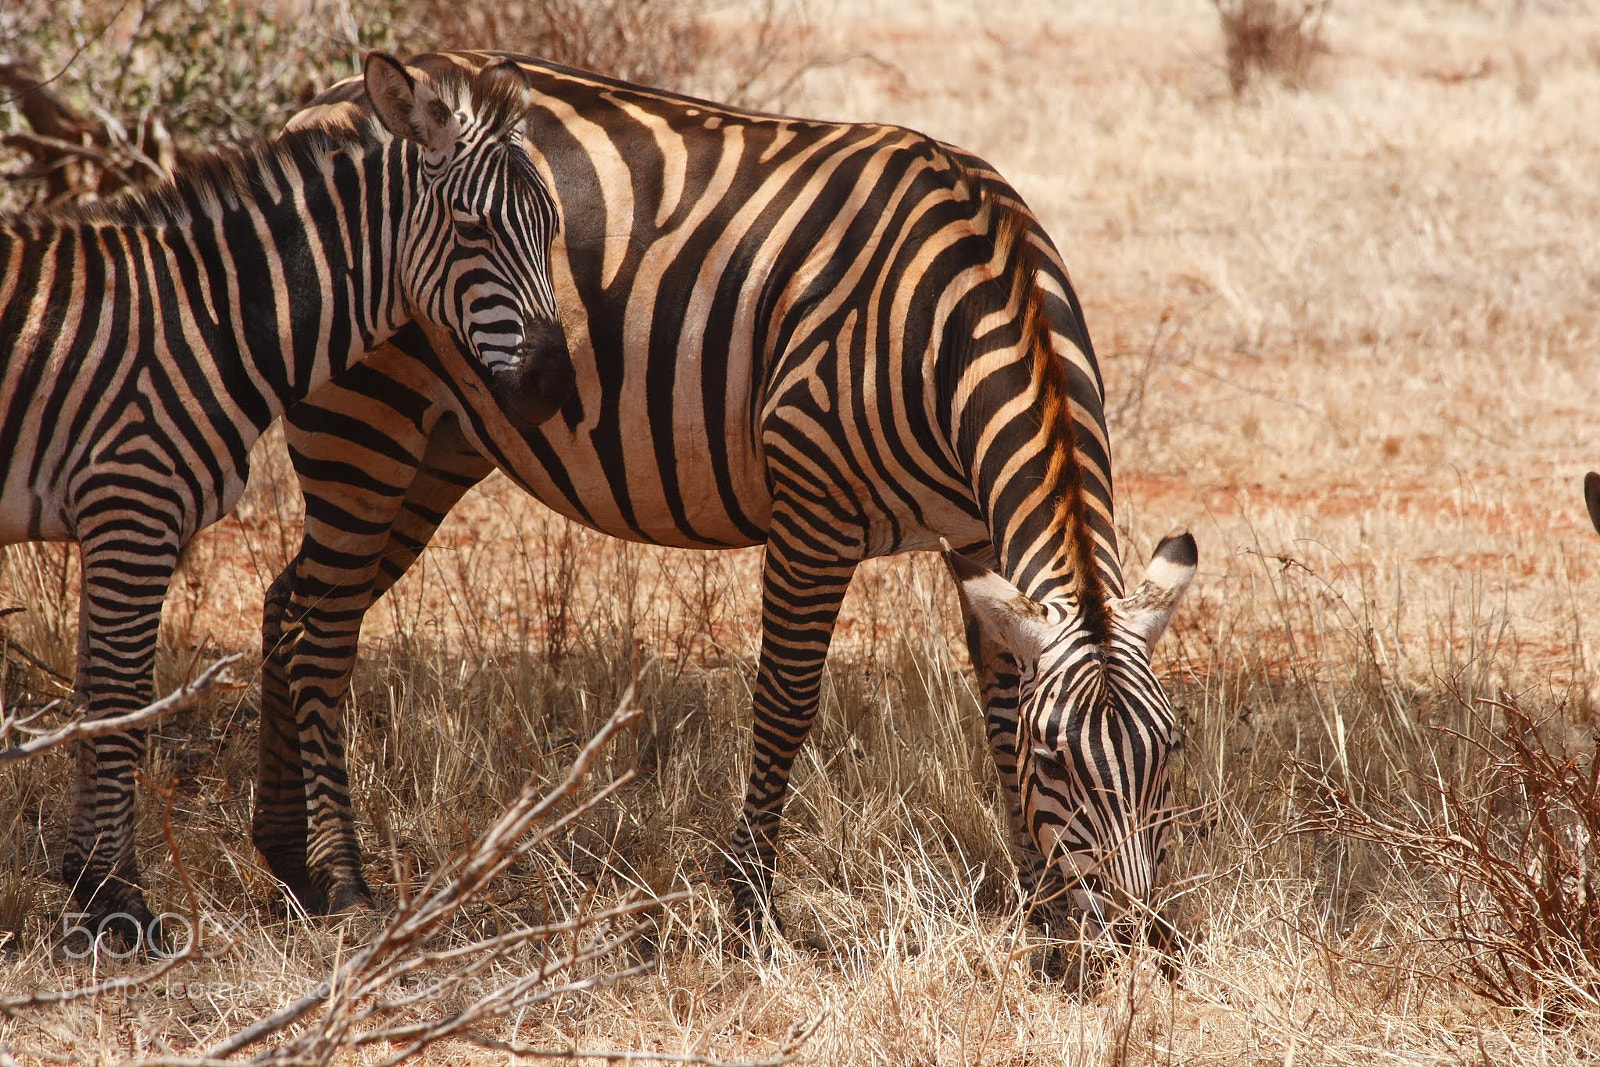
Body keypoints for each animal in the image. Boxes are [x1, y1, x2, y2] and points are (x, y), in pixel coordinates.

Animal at [0, 52, 573, 945]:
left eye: (551, 229)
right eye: (472, 228)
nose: (552, 387)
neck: (212, 319)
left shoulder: (117, 518)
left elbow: (97, 688)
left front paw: (91, 884)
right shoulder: (132, 500)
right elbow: (123, 694)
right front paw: (117, 900)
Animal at [256, 50, 1198, 947]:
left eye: (1172, 749)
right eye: (1058, 760)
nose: (1138, 936)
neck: (958, 319)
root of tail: (321, 101)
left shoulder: (975, 533)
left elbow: (1000, 703)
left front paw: (1045, 908)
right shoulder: (813, 511)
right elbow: (785, 703)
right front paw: (750, 909)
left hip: (437, 448)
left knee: (289, 603)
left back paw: (286, 864)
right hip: (362, 423)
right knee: (325, 634)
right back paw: (345, 885)